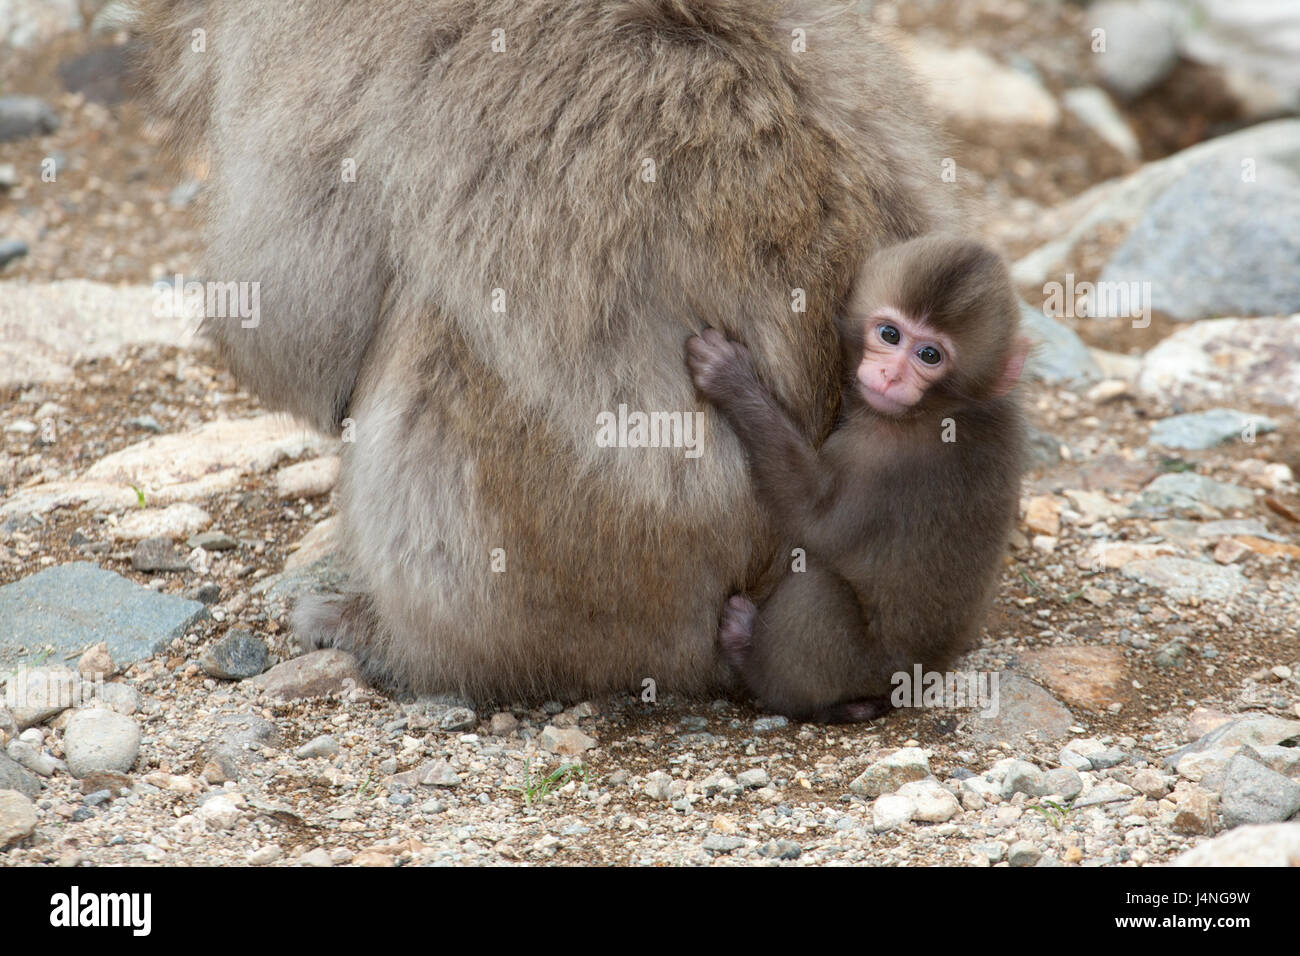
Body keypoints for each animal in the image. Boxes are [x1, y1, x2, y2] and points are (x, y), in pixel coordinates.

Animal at [685, 235, 1028, 723]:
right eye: (890, 334)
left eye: (930, 355)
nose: (890, 375)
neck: (945, 409)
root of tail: (914, 681)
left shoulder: (882, 461)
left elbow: (815, 519)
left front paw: (732, 381)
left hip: (855, 663)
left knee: (817, 590)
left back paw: (748, 653)